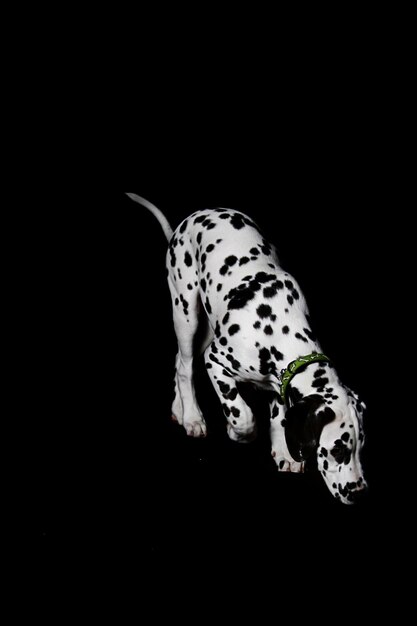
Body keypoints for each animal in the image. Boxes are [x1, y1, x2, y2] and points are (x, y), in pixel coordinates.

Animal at [125, 193, 366, 504]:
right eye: (338, 449)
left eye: (361, 446)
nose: (360, 492)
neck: (280, 327)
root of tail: (192, 217)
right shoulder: (216, 360)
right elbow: (243, 414)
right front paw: (236, 432)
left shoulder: (280, 381)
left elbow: (278, 418)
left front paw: (285, 453)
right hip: (186, 313)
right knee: (186, 367)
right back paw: (192, 417)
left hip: (207, 326)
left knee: (179, 361)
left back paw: (179, 409)